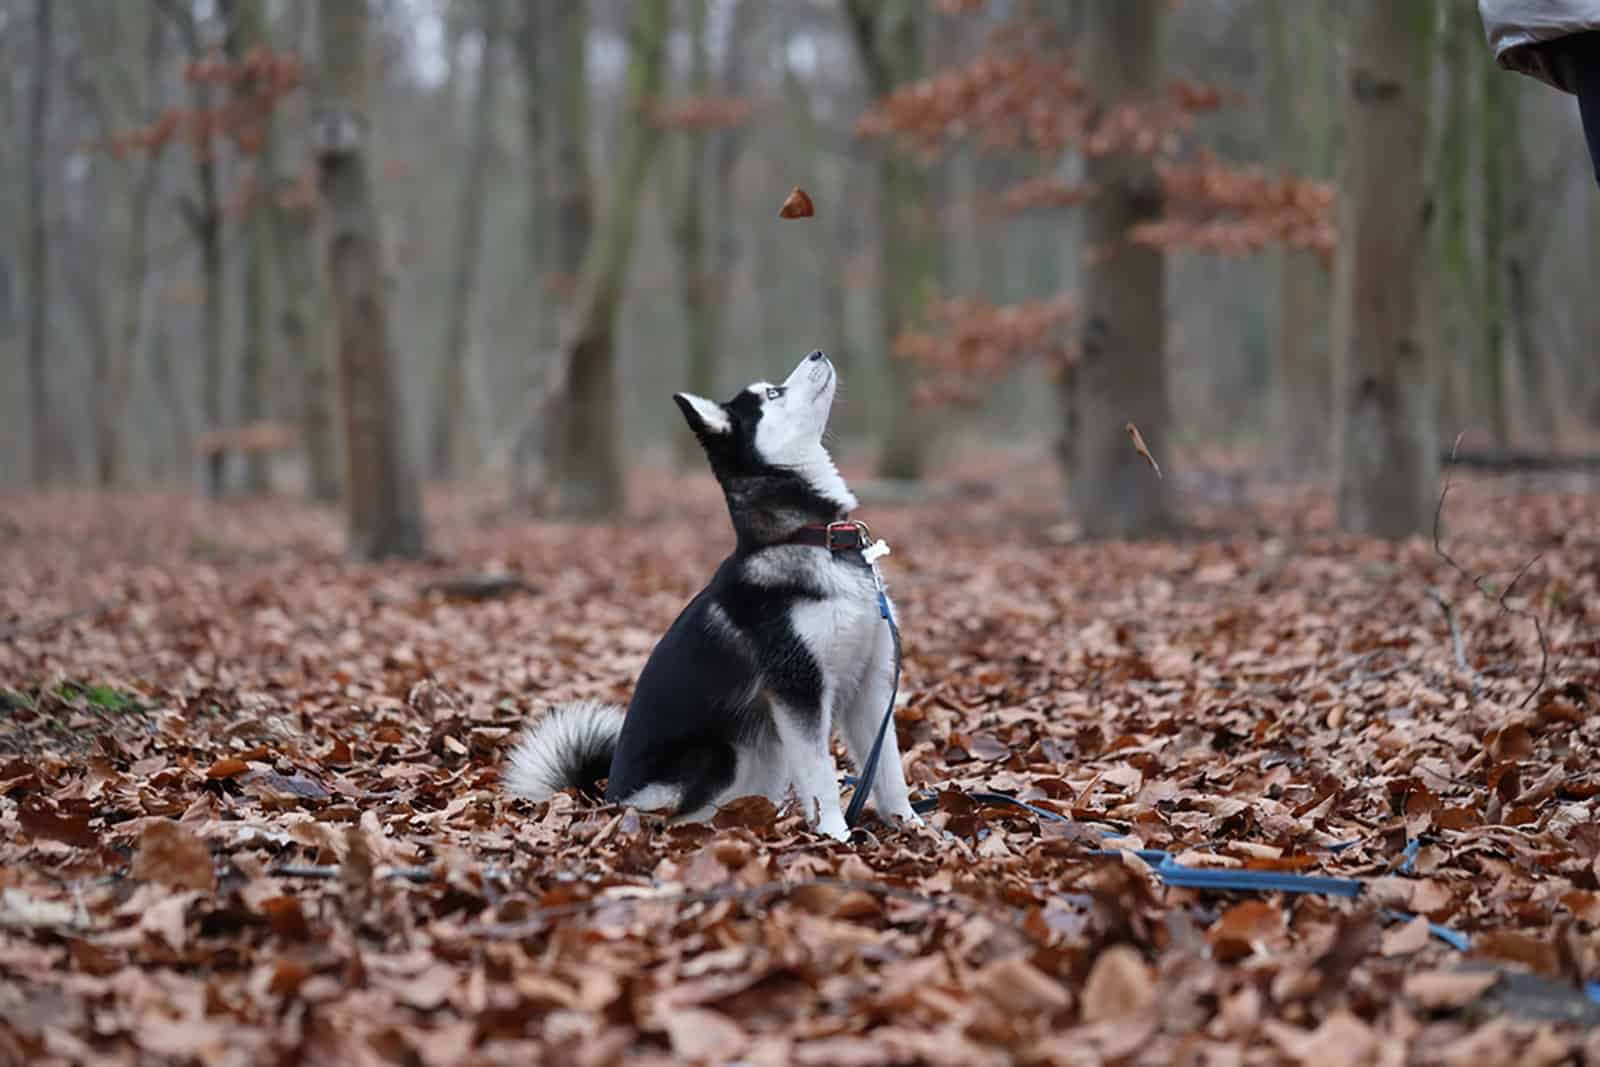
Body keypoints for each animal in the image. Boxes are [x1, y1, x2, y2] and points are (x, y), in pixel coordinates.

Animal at [505, 355, 921, 838]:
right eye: (772, 393)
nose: (817, 354)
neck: (812, 538)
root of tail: (606, 798)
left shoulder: (870, 684)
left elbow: (887, 767)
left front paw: (913, 824)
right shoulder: (798, 687)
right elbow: (821, 777)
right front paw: (836, 833)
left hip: (766, 755)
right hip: (724, 754)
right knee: (682, 817)